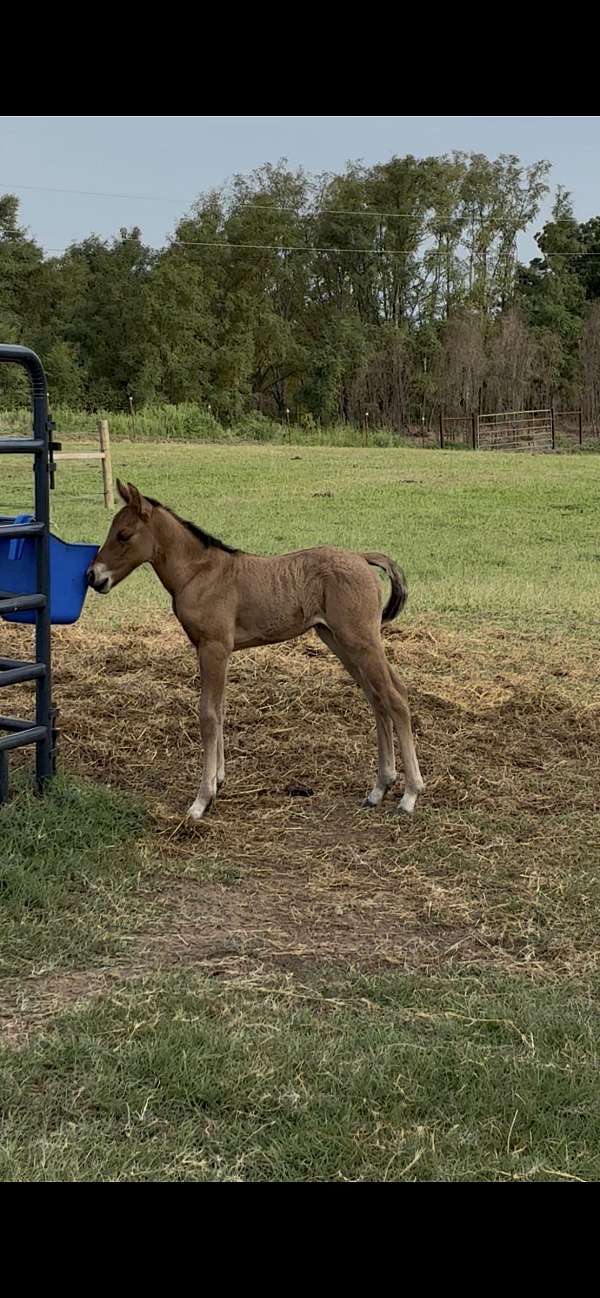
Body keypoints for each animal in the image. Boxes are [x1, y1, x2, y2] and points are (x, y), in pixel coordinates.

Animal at [87, 481, 424, 822]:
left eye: (124, 534)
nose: (92, 576)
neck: (199, 574)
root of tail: (361, 557)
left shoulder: (214, 648)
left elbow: (208, 713)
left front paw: (201, 800)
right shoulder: (213, 652)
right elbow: (220, 709)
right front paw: (218, 781)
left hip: (360, 640)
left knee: (395, 697)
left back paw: (409, 794)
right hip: (339, 640)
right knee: (377, 697)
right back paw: (379, 788)